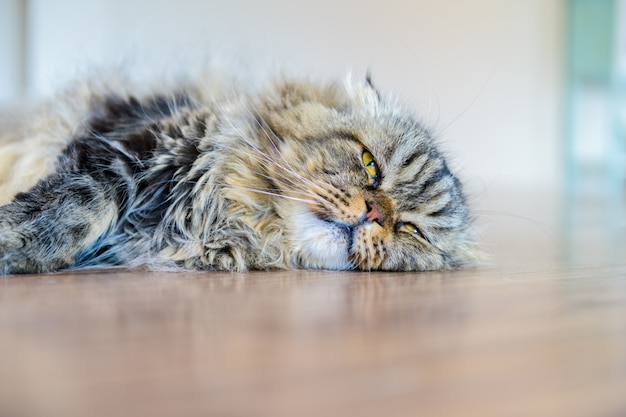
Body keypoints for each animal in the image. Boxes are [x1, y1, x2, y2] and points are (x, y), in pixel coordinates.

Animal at [1, 70, 478, 272]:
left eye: (411, 230)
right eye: (369, 164)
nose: (375, 213)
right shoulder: (128, 143)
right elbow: (78, 205)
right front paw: (17, 242)